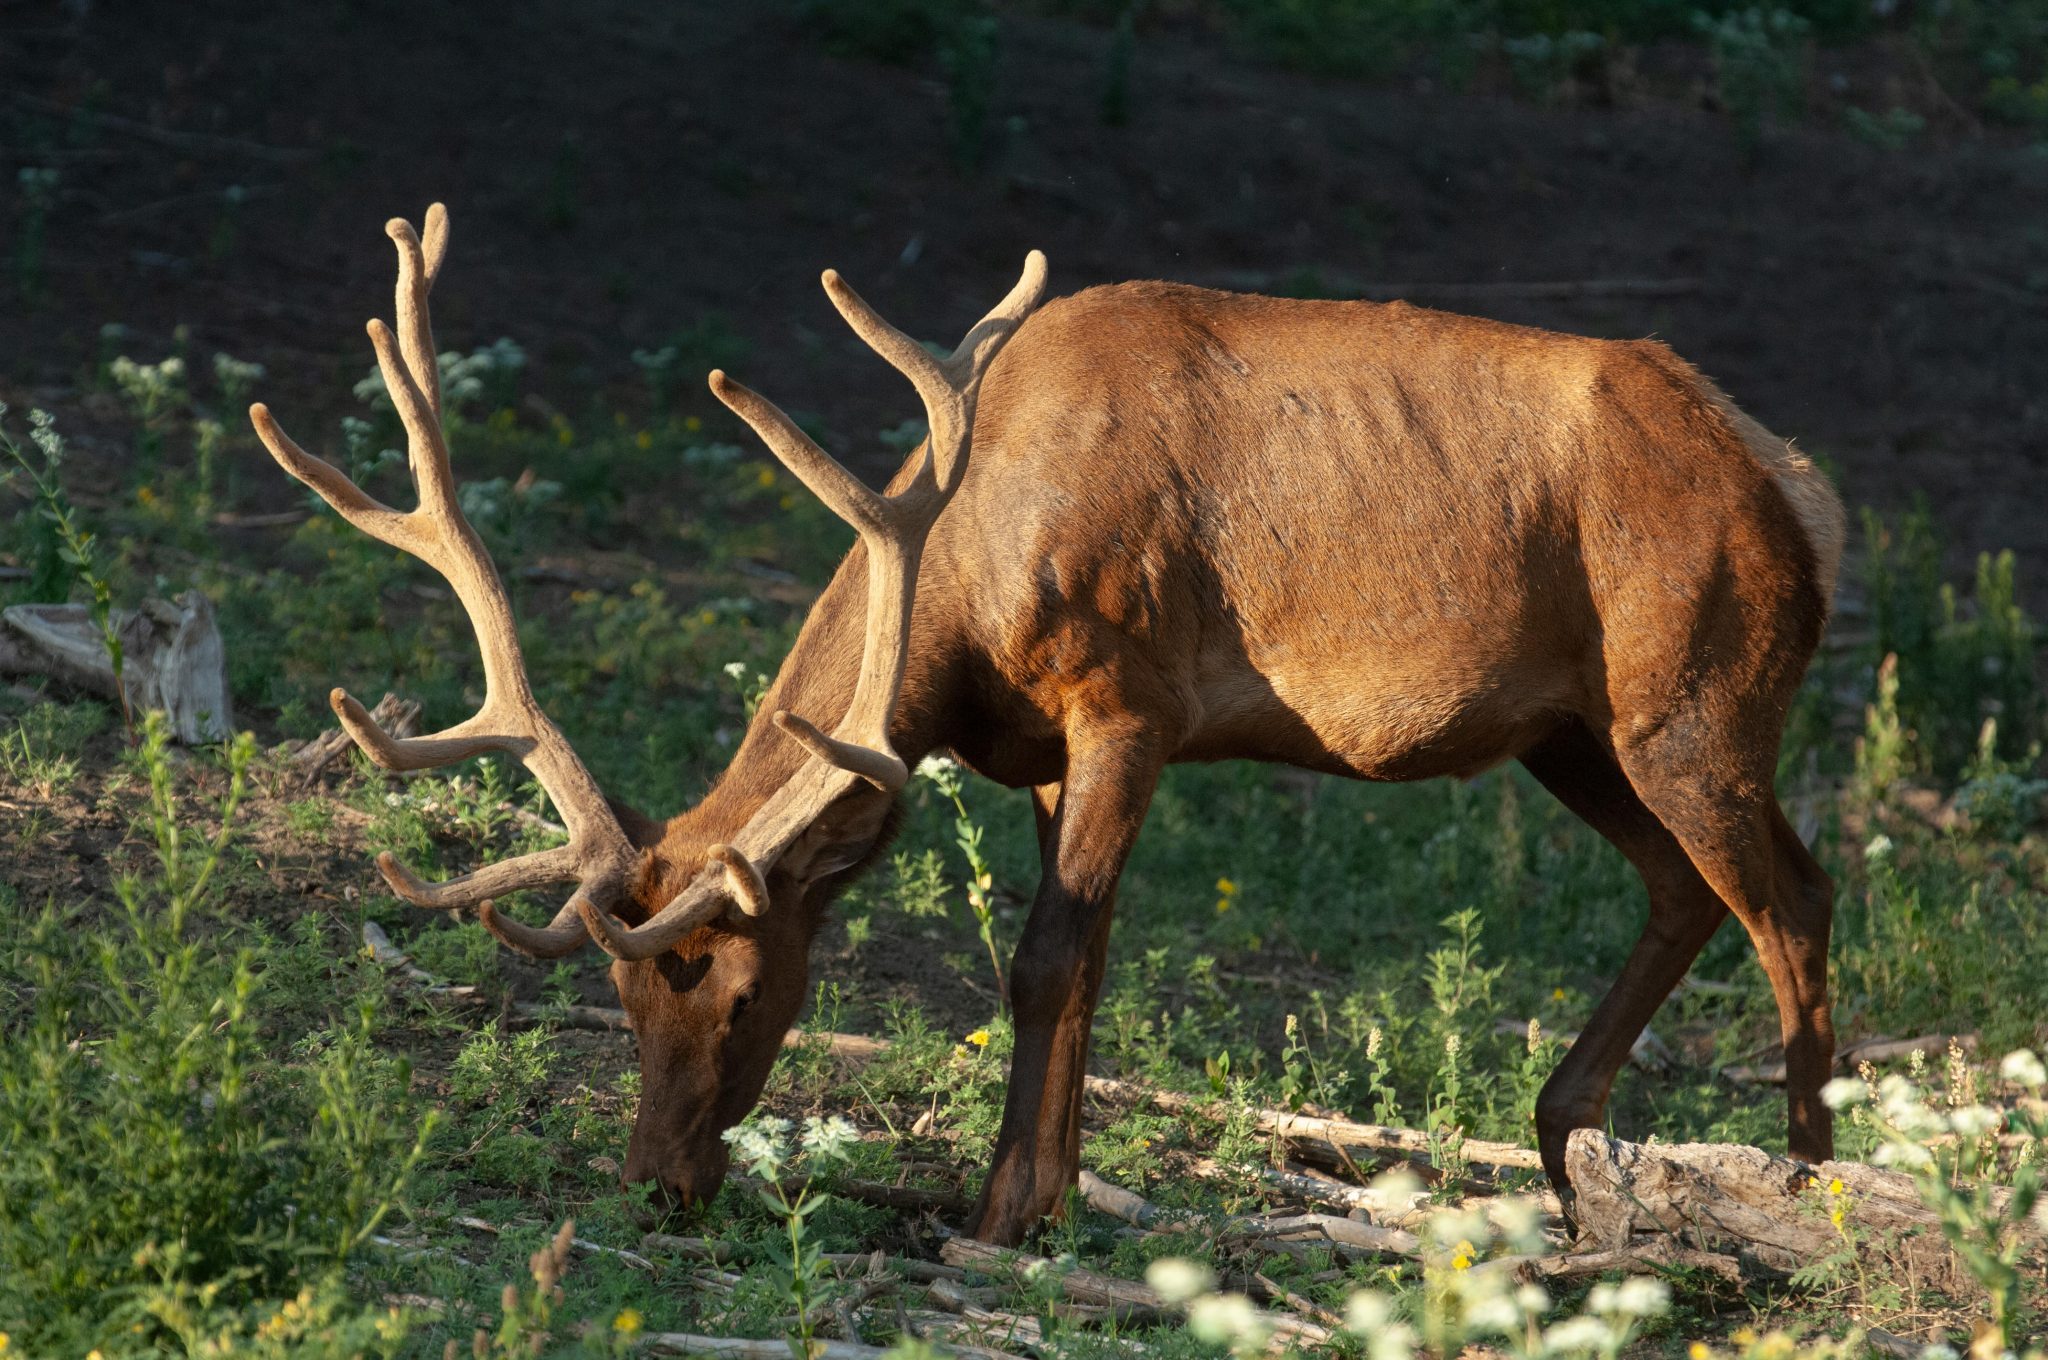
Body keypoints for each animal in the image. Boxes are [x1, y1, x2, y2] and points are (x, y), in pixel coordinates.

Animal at [251, 209, 1843, 1245]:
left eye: (749, 992)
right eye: (628, 1001)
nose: (657, 1183)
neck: (955, 583)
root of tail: (1799, 490)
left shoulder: (1128, 696)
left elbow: (1043, 958)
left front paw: (1003, 1208)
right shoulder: (1036, 751)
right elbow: (1084, 961)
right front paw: (1051, 1196)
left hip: (1696, 696)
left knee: (1793, 898)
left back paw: (1811, 1191)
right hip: (1574, 730)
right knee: (1691, 887)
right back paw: (1568, 1150)